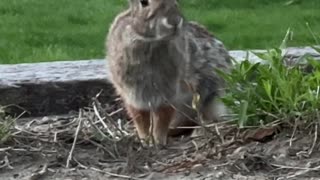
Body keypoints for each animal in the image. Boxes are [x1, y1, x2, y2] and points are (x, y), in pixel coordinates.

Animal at [105, 0, 232, 146]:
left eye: (175, 1)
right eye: (144, 2)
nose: (174, 21)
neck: (150, 42)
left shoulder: (169, 94)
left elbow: (161, 120)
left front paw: (158, 142)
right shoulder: (133, 96)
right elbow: (141, 120)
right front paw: (145, 141)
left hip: (213, 96)